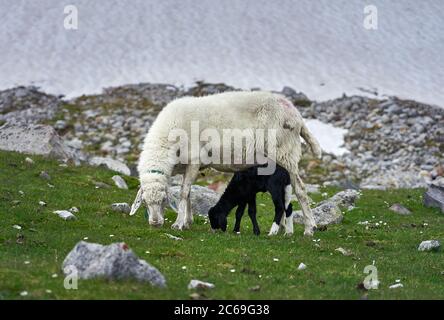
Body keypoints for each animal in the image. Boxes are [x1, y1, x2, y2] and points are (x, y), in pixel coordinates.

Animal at [134, 91, 320, 236]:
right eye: (144, 202)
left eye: (164, 200)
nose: (155, 224)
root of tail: (295, 114)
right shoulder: (186, 166)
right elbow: (188, 193)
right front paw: (188, 221)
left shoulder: (194, 160)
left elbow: (184, 193)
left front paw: (178, 224)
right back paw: (283, 227)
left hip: (285, 154)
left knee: (300, 190)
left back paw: (309, 228)